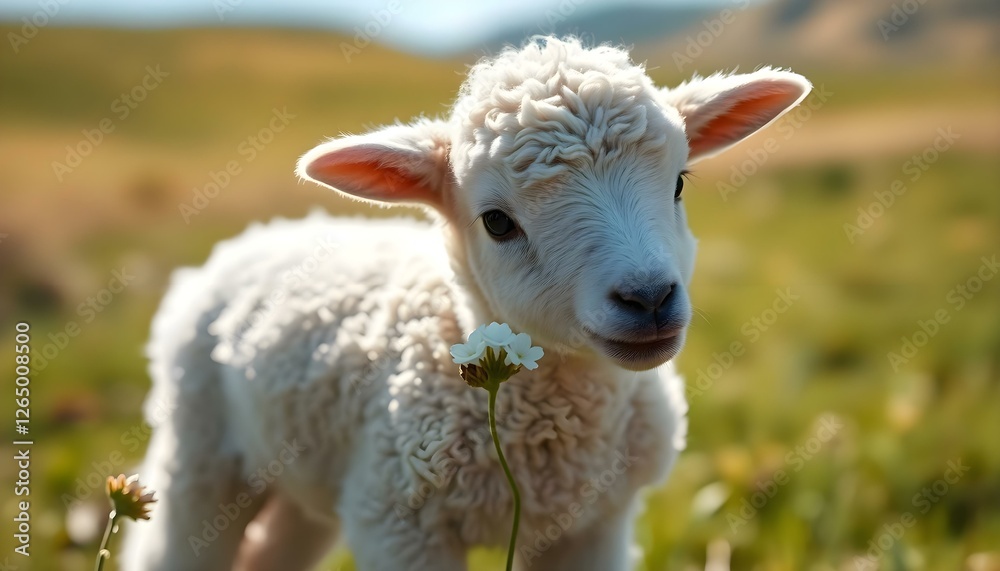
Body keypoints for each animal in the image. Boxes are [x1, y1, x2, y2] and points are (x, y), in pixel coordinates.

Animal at [123, 36, 810, 571]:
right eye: (497, 222)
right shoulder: (397, 520)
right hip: (199, 450)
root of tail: (257, 235)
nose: (648, 298)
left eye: (679, 185)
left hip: (301, 478)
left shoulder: (595, 524)